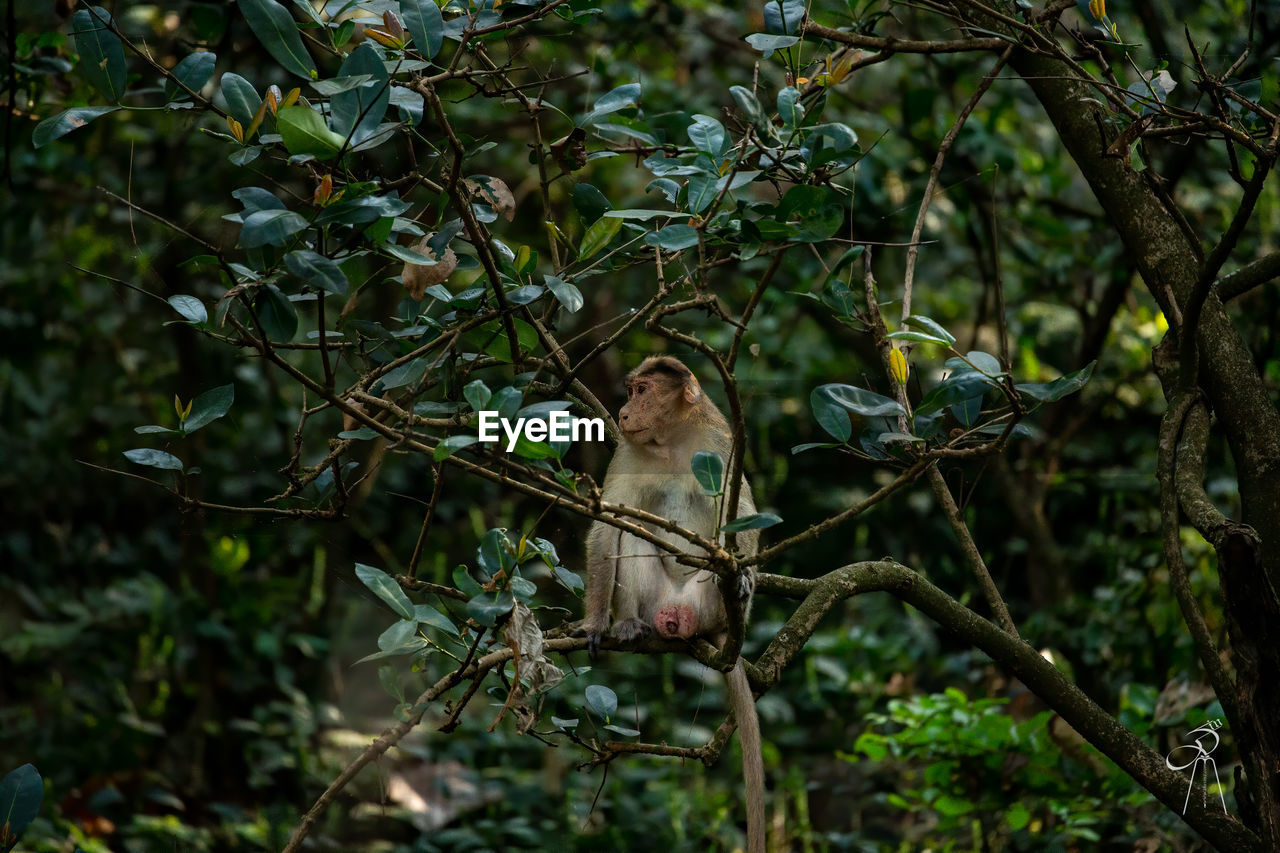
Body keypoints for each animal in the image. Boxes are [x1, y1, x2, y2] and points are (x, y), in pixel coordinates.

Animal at [578, 353, 762, 850]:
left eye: (641, 391)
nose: (622, 413)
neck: (672, 443)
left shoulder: (723, 443)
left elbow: (742, 512)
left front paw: (746, 575)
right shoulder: (629, 451)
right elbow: (610, 523)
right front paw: (595, 624)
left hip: (707, 605)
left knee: (719, 573)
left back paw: (734, 591)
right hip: (655, 600)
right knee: (631, 534)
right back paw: (629, 625)